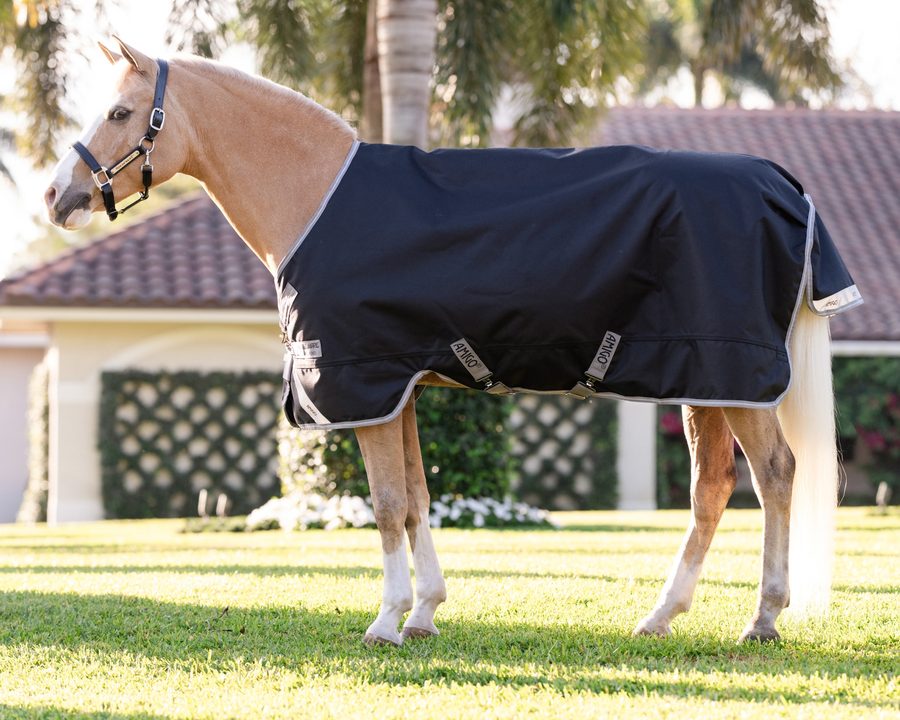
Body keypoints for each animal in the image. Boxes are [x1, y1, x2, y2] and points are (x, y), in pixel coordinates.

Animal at [44, 38, 853, 645]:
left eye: (120, 111)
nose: (56, 197)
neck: (316, 196)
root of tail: (783, 184)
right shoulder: (396, 388)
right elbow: (417, 498)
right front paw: (426, 612)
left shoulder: (364, 385)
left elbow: (384, 504)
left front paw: (385, 621)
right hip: (704, 378)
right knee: (711, 489)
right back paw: (660, 617)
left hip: (737, 380)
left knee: (775, 476)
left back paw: (762, 619)